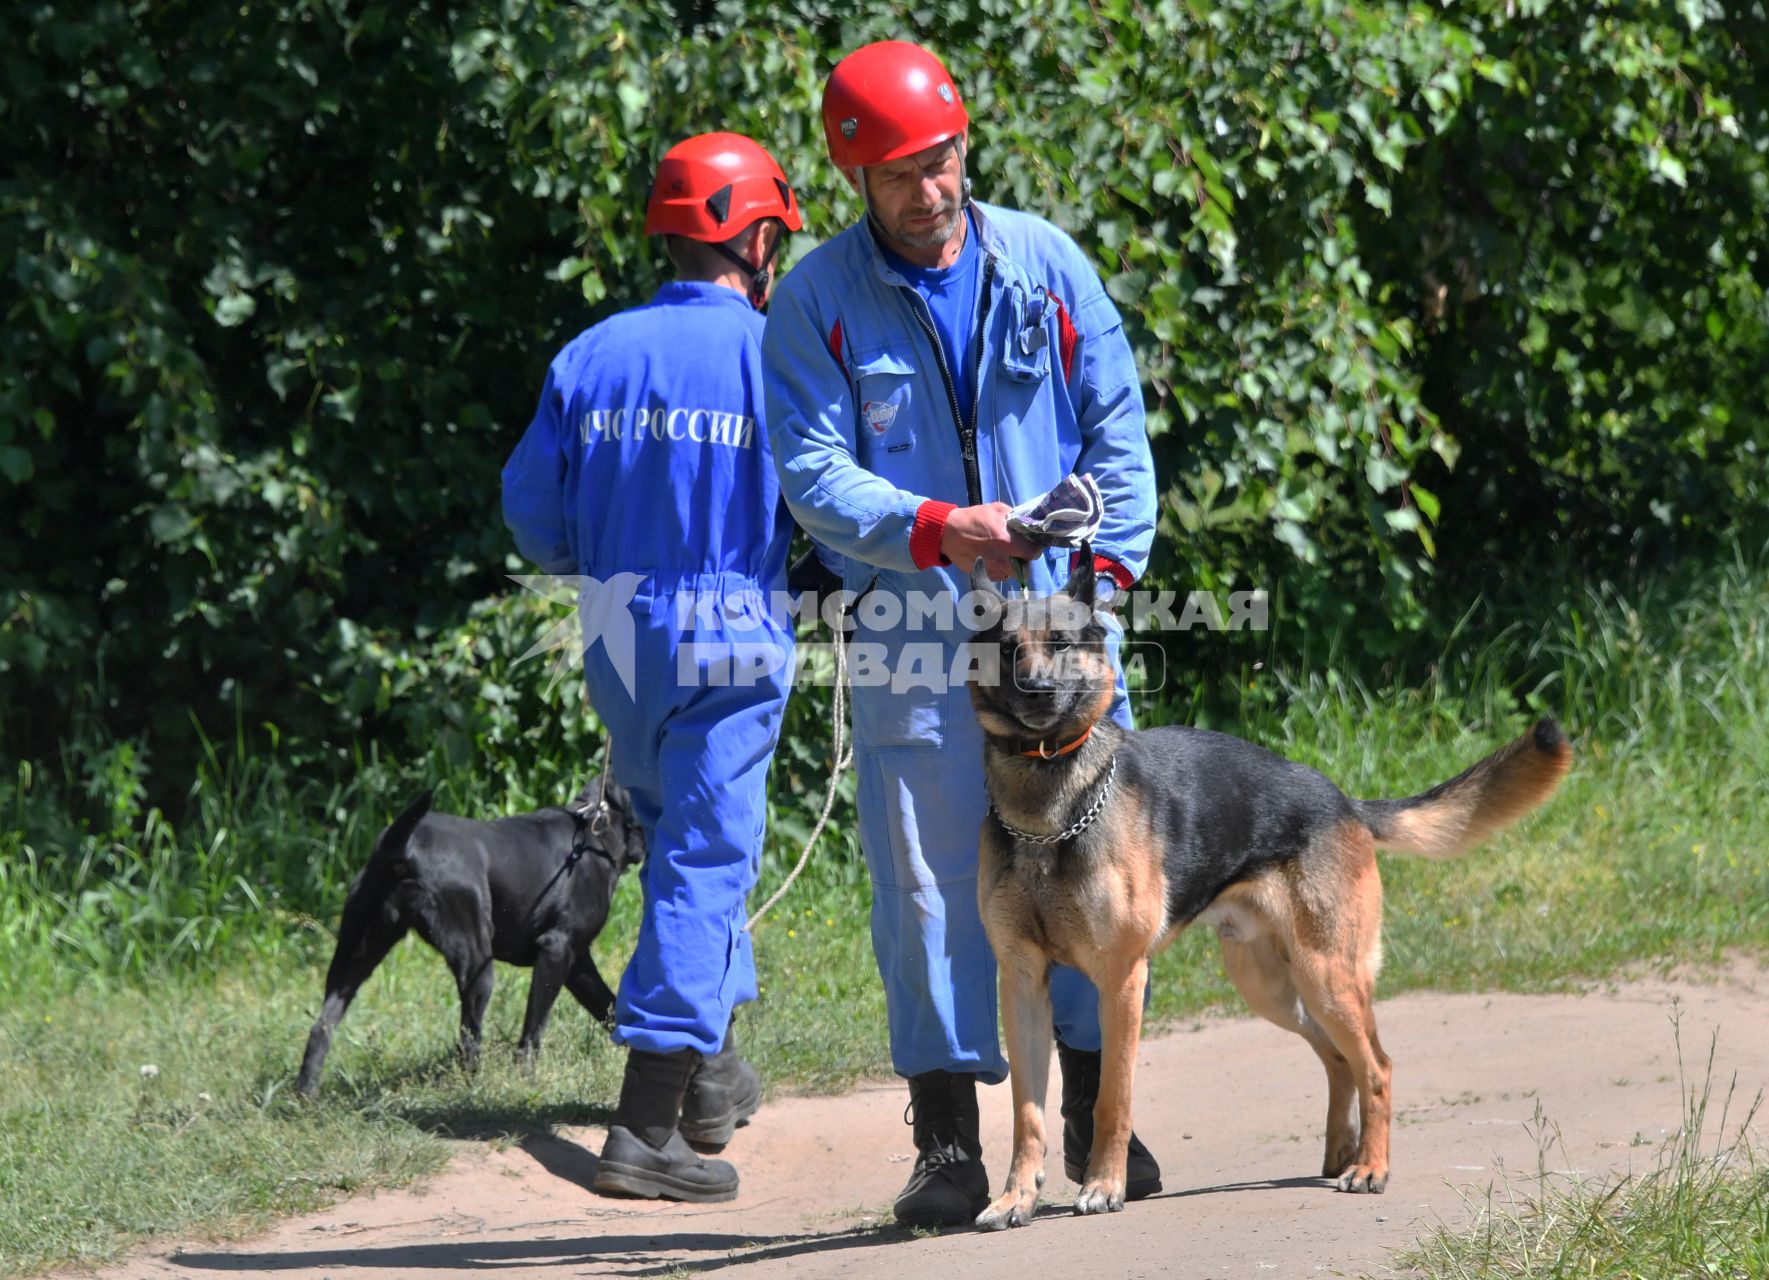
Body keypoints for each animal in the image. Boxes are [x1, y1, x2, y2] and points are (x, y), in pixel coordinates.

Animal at [293, 774, 647, 1096]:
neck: (596, 832)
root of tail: (403, 847)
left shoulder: (577, 962)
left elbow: (608, 1005)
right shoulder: (556, 949)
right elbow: (533, 1029)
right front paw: (526, 1080)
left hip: (353, 955)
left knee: (321, 1025)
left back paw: (305, 1093)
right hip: (477, 963)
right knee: (468, 1038)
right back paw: (475, 1088)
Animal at [969, 551, 1577, 1230]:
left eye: (1062, 642)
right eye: (1007, 649)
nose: (1036, 692)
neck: (1049, 810)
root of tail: (1345, 802)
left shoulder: (1121, 980)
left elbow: (1111, 1098)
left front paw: (1104, 1185)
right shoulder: (1022, 984)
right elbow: (1026, 1113)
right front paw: (1015, 1198)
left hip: (1326, 975)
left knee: (1377, 1065)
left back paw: (1372, 1167)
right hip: (1271, 986)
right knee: (1340, 1060)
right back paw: (1344, 1153)